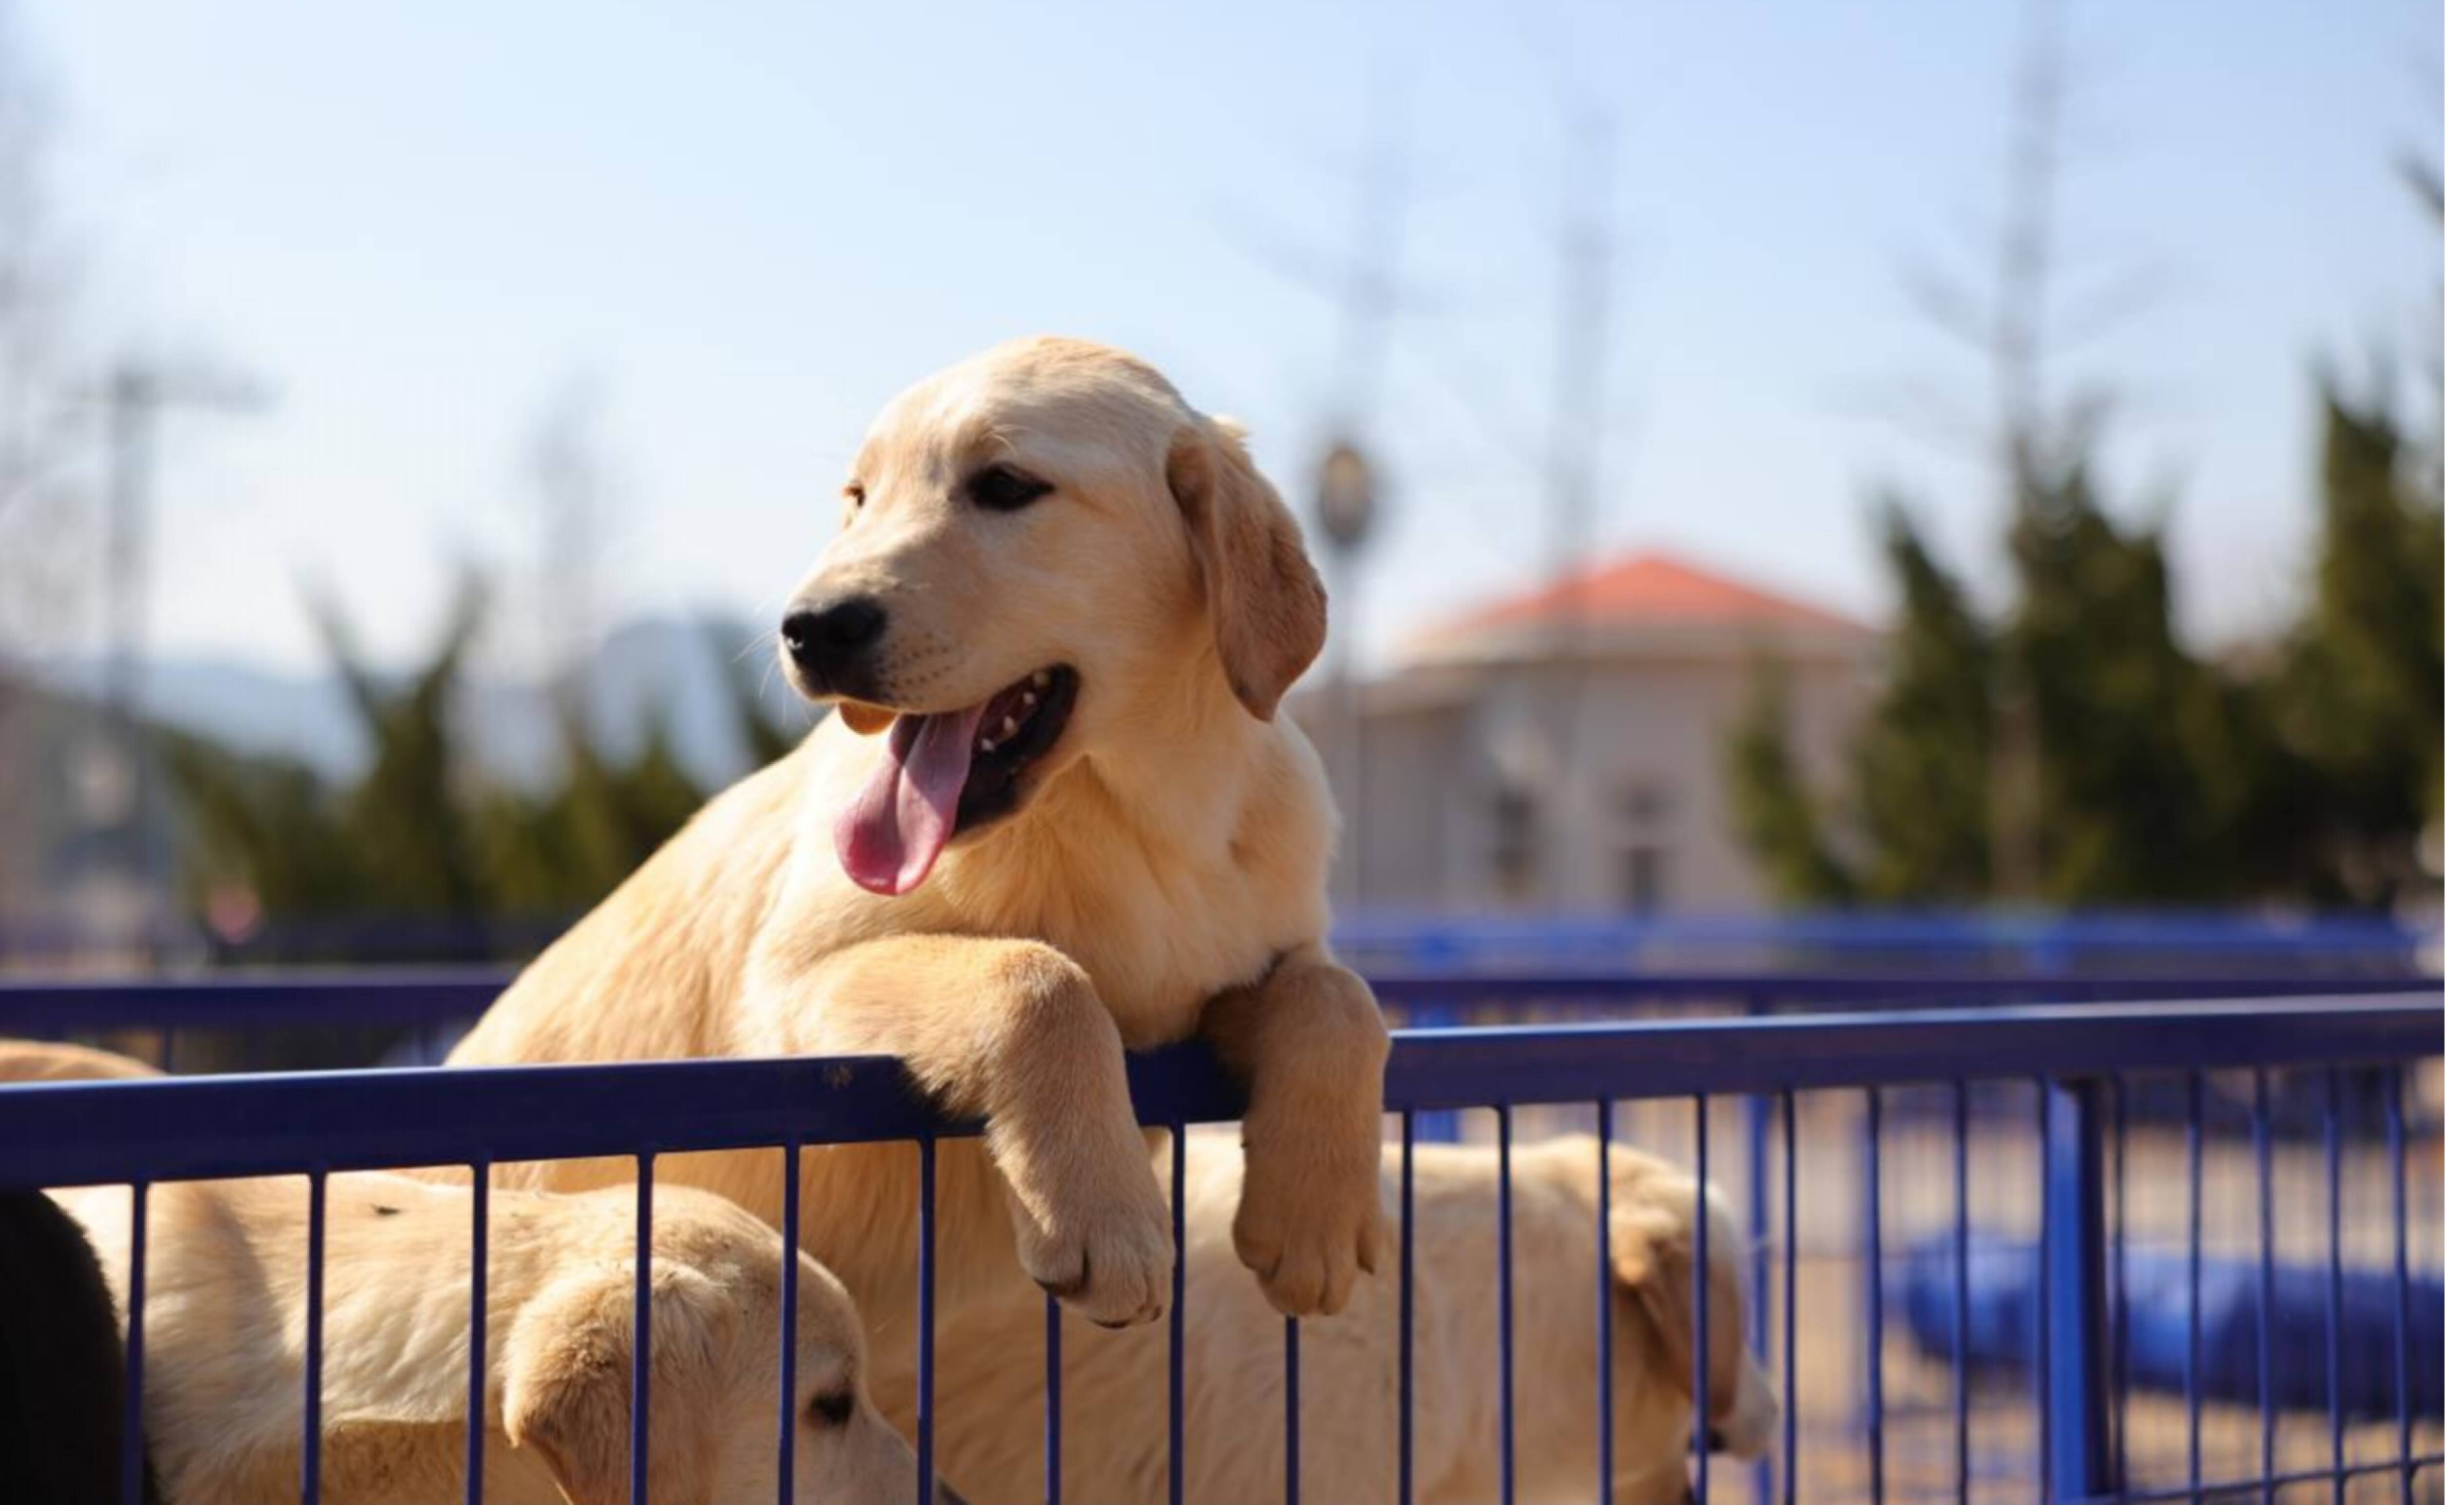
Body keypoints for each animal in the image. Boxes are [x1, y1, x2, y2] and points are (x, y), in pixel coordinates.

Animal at [453, 345, 1399, 1379]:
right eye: (859, 497)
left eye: (1006, 486)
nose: (809, 626)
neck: (1133, 812)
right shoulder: (801, 986)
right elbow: (1041, 978)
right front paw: (1110, 1220)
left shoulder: (1249, 957)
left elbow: (1342, 997)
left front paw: (1313, 1221)